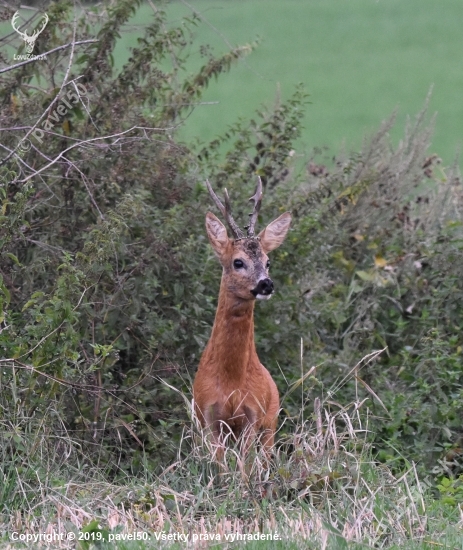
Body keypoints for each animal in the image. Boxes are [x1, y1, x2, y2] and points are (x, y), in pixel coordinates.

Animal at [194, 180, 292, 462]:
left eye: (268, 262)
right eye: (238, 262)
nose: (266, 284)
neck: (231, 382)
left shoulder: (253, 414)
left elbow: (244, 466)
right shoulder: (208, 415)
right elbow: (221, 465)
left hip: (271, 422)